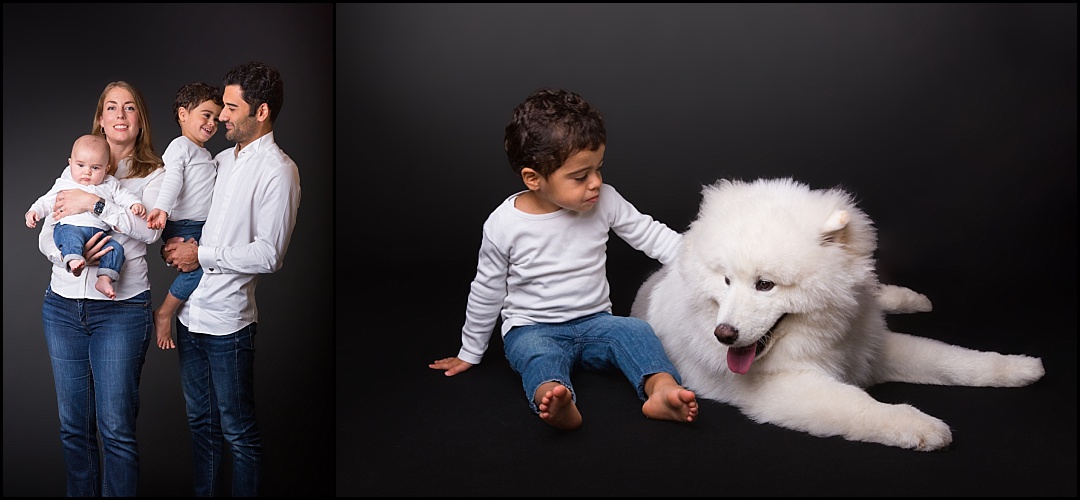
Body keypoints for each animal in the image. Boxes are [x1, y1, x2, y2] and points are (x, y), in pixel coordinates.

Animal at [630, 178, 1045, 451]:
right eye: (726, 281)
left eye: (765, 285)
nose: (724, 335)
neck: (826, 333)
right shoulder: (786, 388)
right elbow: (859, 406)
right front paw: (919, 425)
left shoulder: (874, 346)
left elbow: (949, 358)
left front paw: (1017, 367)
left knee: (877, 292)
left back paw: (911, 298)